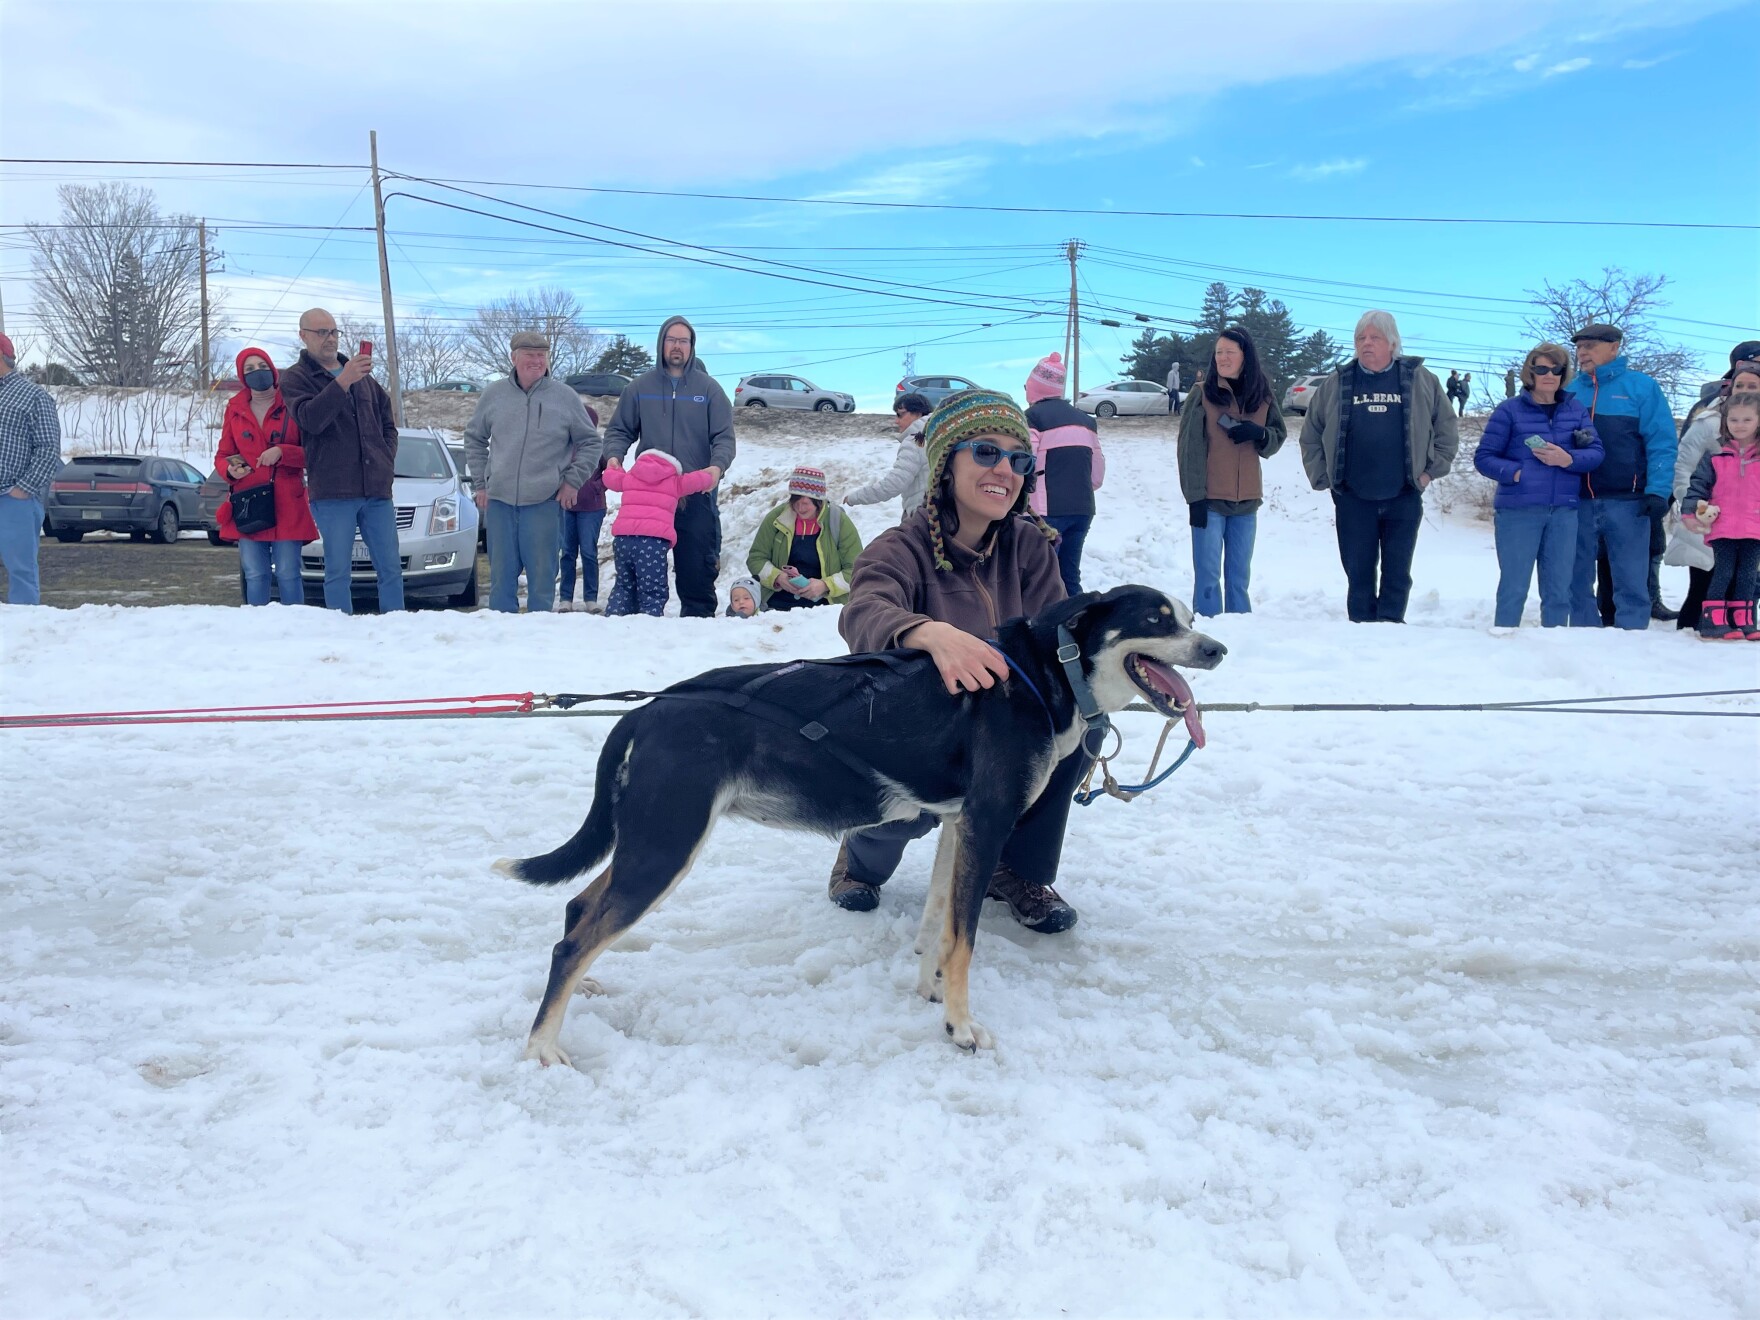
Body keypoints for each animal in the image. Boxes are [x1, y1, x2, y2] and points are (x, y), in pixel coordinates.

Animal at [499, 587, 1224, 1063]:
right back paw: (541, 1049)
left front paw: (932, 994)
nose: (1216, 647)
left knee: (578, 910)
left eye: (1188, 617)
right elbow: (965, 940)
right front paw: (963, 1029)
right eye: (1157, 618)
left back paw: (585, 984)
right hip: (664, 847)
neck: (1041, 675)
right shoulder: (988, 824)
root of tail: (645, 711)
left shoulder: (958, 826)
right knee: (574, 940)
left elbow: (939, 928)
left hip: (648, 843)